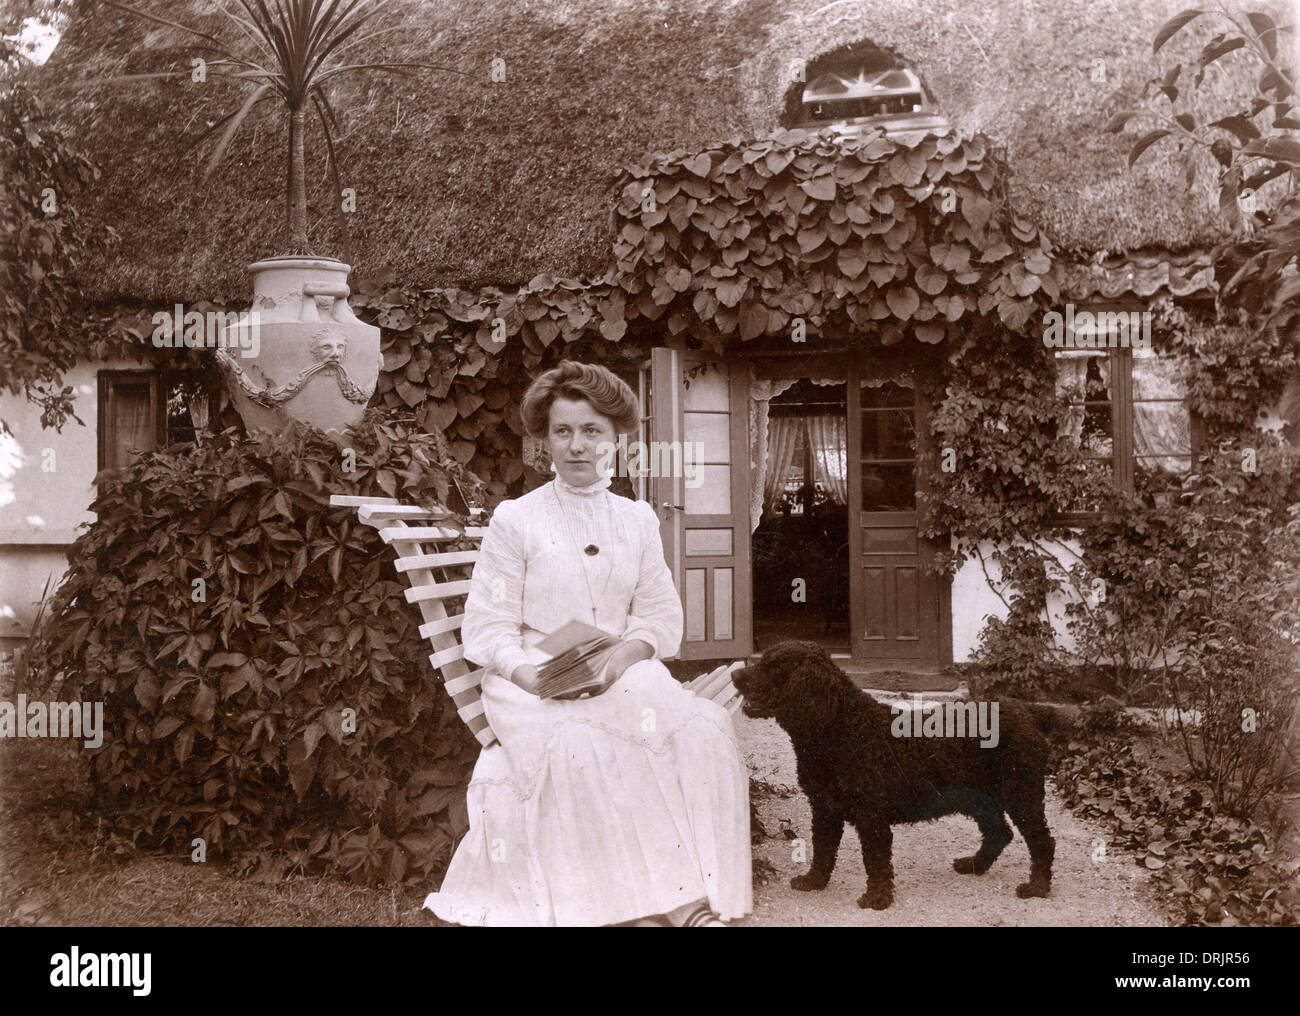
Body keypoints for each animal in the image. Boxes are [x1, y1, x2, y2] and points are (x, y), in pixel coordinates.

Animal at [733, 641, 1055, 909]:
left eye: (773, 666)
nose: (735, 675)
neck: (840, 725)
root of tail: (1026, 709)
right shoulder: (825, 809)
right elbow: (822, 851)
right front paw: (814, 881)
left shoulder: (871, 816)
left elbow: (875, 861)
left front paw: (877, 897)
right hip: (979, 799)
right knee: (999, 833)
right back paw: (974, 865)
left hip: (1021, 794)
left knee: (1041, 841)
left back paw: (1037, 887)